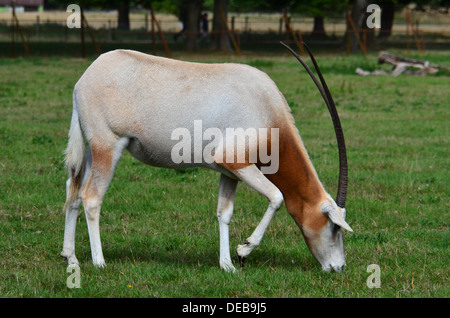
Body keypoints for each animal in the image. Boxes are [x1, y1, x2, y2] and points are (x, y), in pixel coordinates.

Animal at [61, 41, 354, 272]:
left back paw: (70, 257)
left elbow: (224, 213)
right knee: (91, 198)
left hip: (93, 149)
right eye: (334, 227)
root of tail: (82, 81)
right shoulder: (239, 163)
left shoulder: (230, 172)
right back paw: (99, 262)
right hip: (109, 146)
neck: (267, 112)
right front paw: (244, 249)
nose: (338, 267)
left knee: (73, 189)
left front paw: (227, 265)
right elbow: (277, 197)